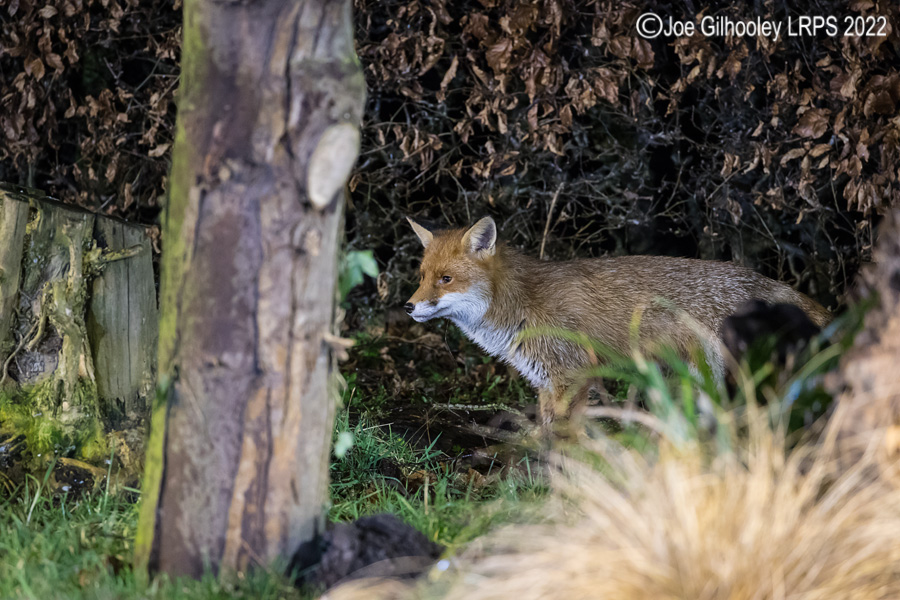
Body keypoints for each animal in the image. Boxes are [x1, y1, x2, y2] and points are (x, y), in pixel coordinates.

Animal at [404, 216, 832, 427]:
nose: (409, 307)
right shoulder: (546, 381)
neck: (523, 303)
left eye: (446, 279)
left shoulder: (571, 373)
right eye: (422, 276)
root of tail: (779, 287)